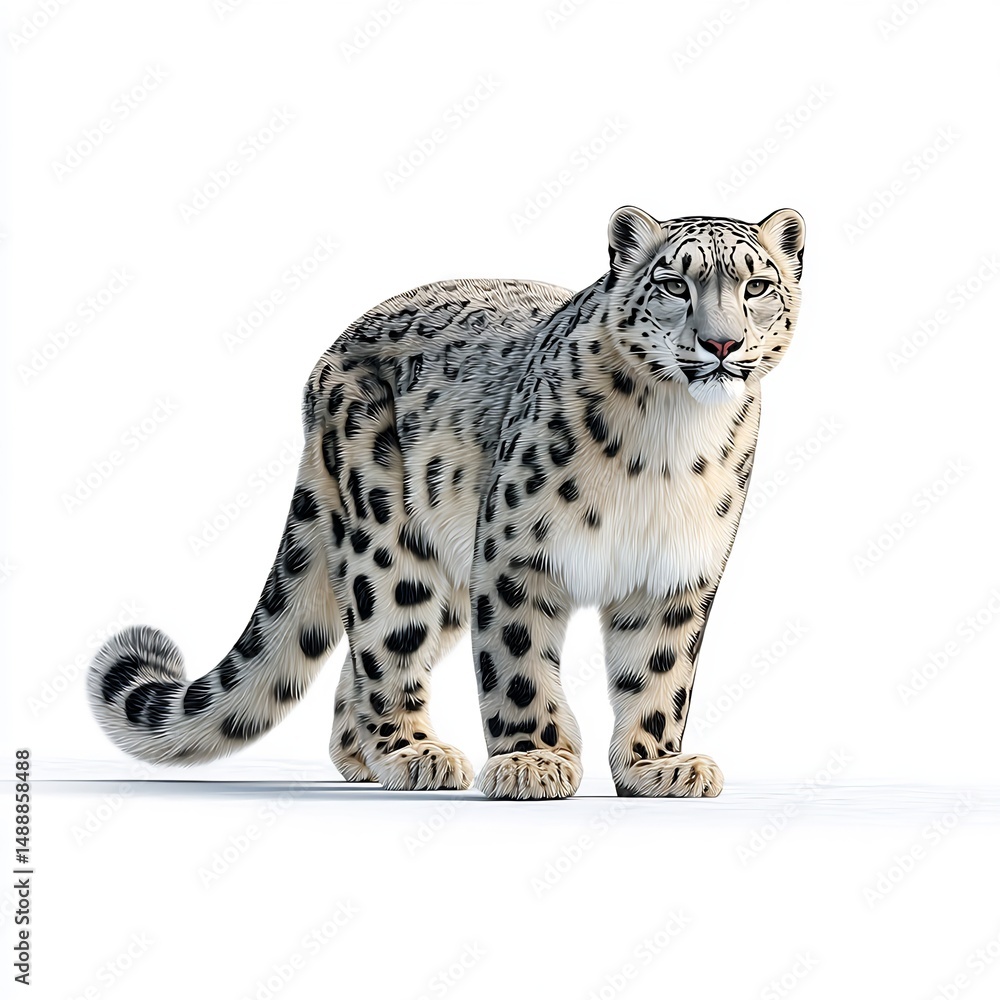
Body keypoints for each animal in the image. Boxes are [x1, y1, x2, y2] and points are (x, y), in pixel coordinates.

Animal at [88, 205, 805, 800]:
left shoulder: (676, 571)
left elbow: (658, 674)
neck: (668, 440)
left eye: (756, 287)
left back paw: (368, 756)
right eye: (674, 285)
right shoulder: (517, 554)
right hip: (390, 539)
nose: (721, 343)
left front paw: (655, 766)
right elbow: (517, 663)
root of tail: (329, 355)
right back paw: (410, 753)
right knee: (384, 642)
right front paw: (534, 761)